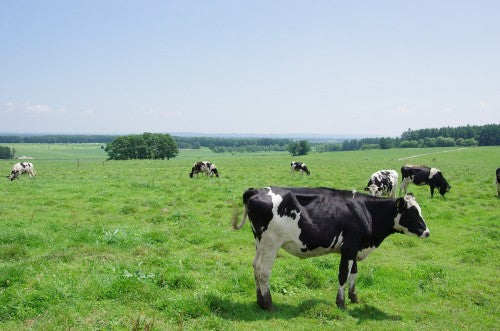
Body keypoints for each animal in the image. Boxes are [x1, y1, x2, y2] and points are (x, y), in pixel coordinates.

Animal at [232, 187, 428, 312]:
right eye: (412, 213)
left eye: (420, 210)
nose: (427, 232)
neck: (366, 211)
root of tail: (256, 190)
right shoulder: (349, 249)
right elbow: (343, 275)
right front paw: (341, 303)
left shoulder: (355, 249)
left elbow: (354, 273)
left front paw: (354, 297)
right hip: (270, 243)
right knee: (263, 270)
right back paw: (268, 304)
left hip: (260, 243)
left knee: (255, 267)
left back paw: (259, 302)